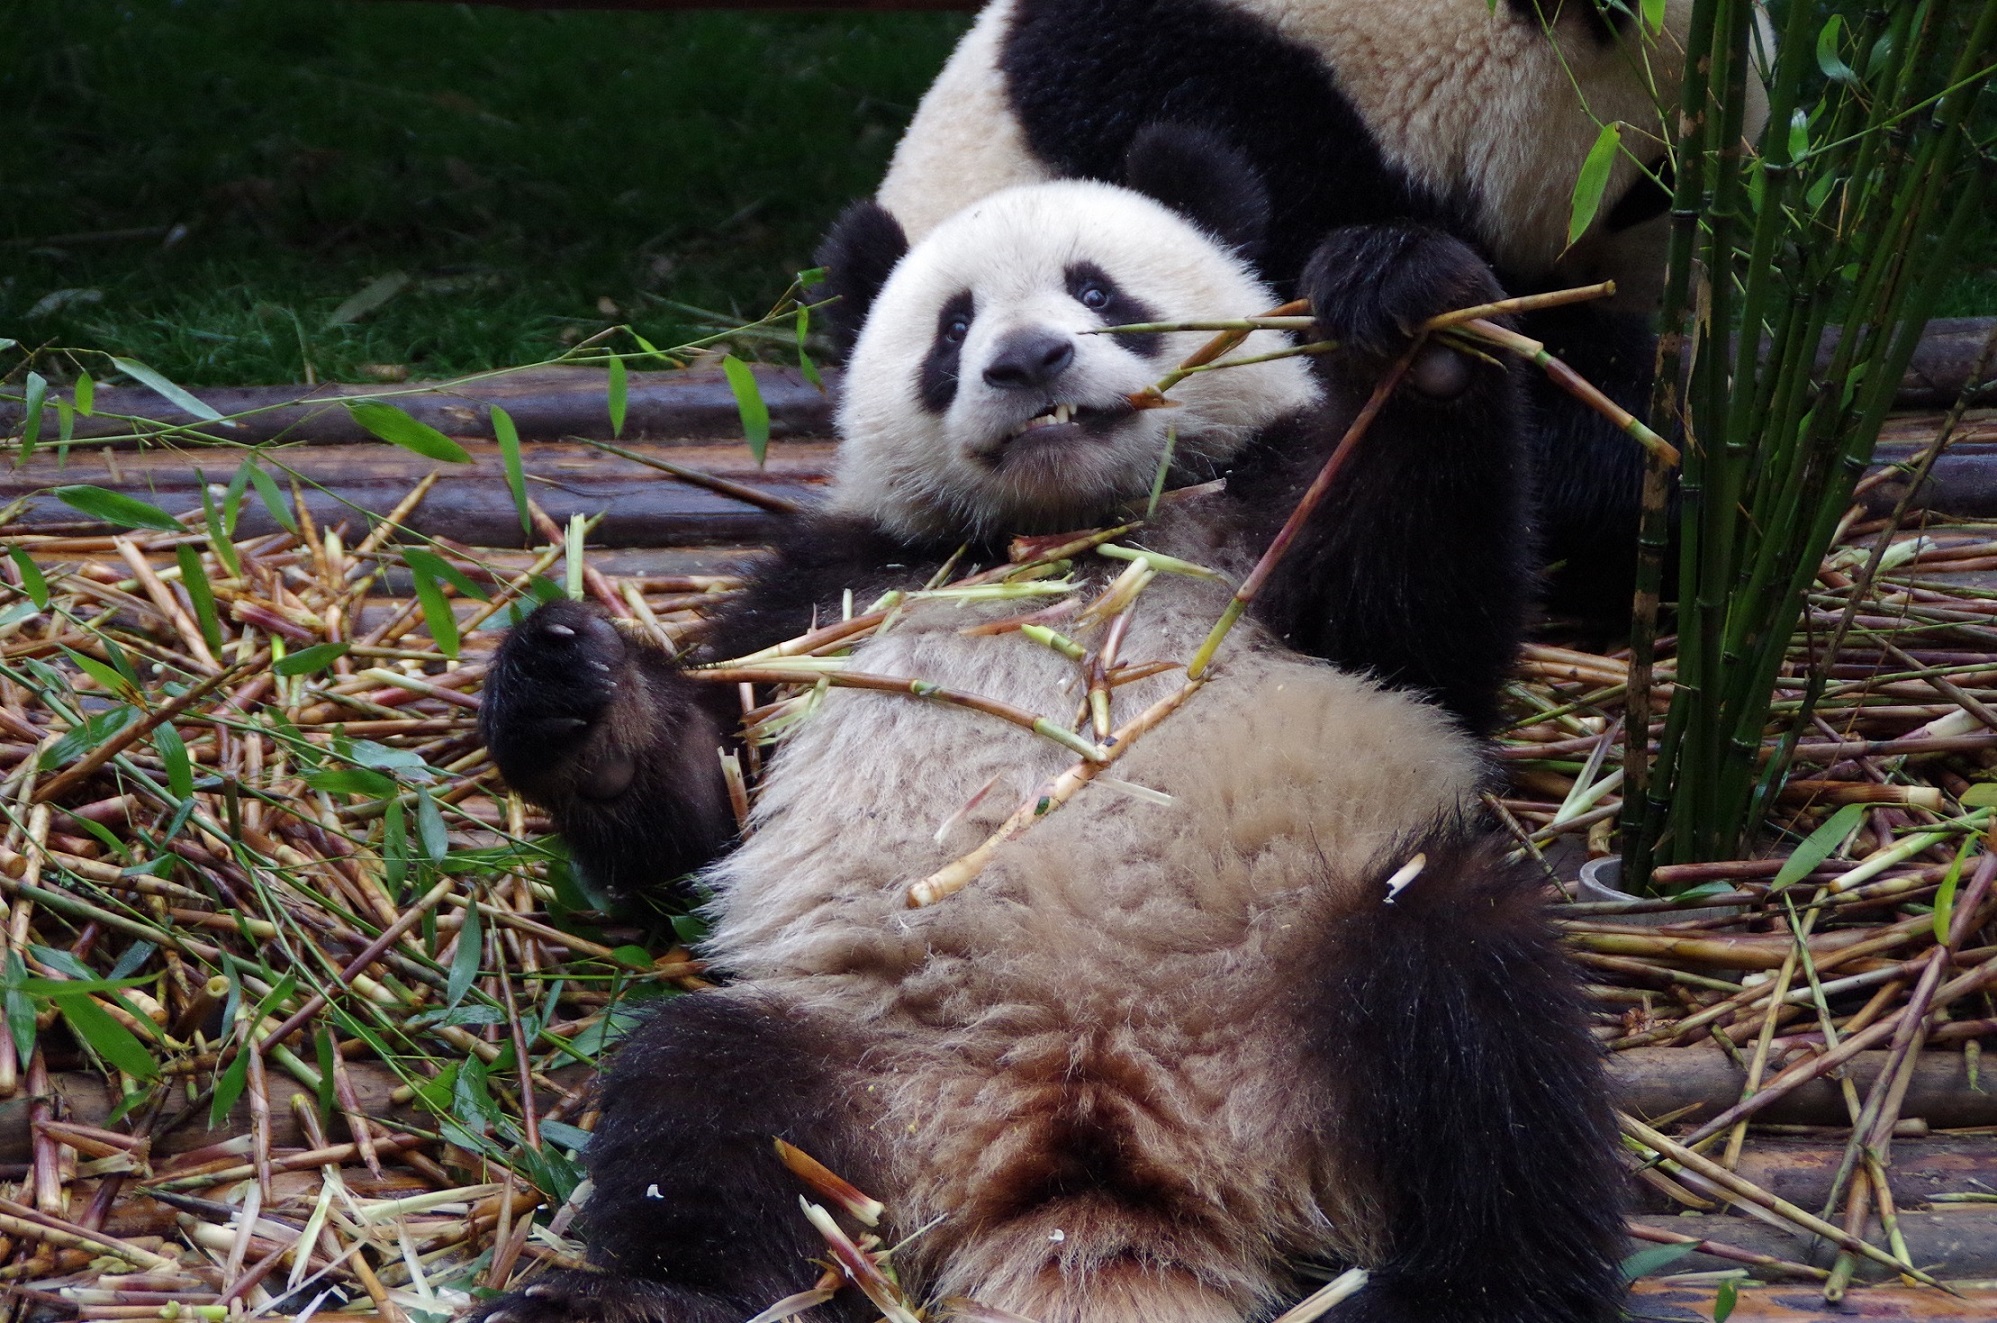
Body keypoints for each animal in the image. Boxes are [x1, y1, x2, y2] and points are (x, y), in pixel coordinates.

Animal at [471, 132, 1624, 1323]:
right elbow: (706, 809)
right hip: (859, 1061)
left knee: (1474, 1025)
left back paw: (1466, 1286)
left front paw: (1415, 322)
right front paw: (574, 690)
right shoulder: (829, 594)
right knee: (705, 1103)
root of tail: (1096, 1121)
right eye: (952, 327)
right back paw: (635, 1294)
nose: (1026, 360)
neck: (1067, 534)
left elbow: (1415, 624)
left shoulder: (1263, 512)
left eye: (1097, 290)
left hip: (1316, 967)